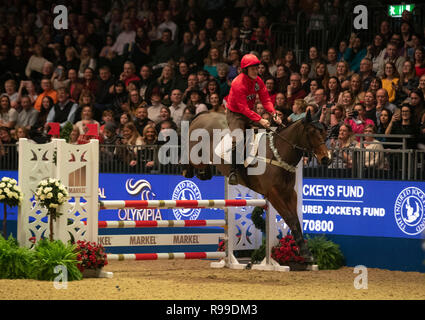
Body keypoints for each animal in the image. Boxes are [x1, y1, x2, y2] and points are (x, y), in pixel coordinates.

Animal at [182, 111, 332, 264]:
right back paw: (188, 170)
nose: (327, 159)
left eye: (324, 132)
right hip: (195, 155)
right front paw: (304, 252)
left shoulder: (289, 193)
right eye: (312, 132)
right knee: (189, 159)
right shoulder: (273, 194)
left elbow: (295, 220)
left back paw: (203, 173)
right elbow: (289, 218)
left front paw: (305, 252)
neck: (278, 155)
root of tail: (205, 114)